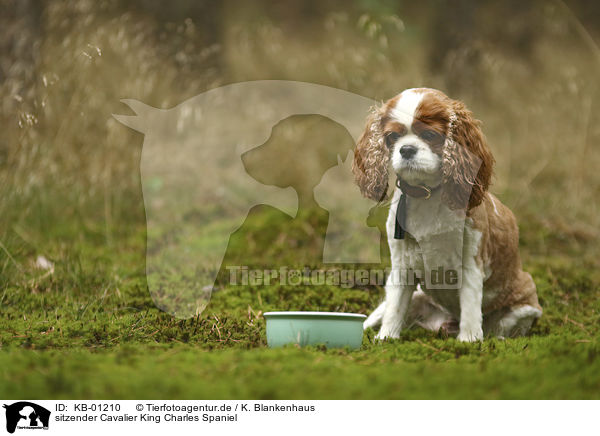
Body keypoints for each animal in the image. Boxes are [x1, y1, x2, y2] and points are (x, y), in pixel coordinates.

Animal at [352, 87, 544, 340]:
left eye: (430, 135)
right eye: (392, 137)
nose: (406, 149)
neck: (426, 194)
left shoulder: (471, 263)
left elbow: (471, 308)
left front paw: (469, 340)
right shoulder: (401, 267)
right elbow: (395, 308)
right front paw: (386, 339)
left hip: (524, 307)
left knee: (501, 327)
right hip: (416, 296)